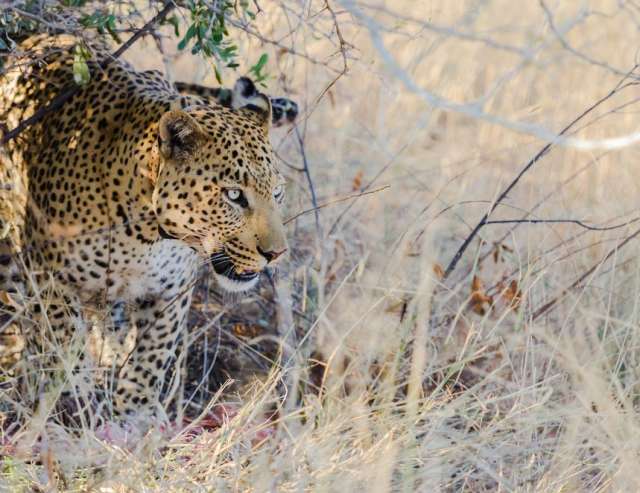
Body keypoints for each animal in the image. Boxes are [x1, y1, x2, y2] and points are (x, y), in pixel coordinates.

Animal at [0, 34, 296, 420]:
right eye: (233, 195)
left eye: (277, 192)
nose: (276, 254)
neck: (149, 236)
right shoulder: (50, 278)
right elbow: (67, 347)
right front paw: (75, 406)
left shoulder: (172, 294)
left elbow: (150, 358)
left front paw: (131, 414)